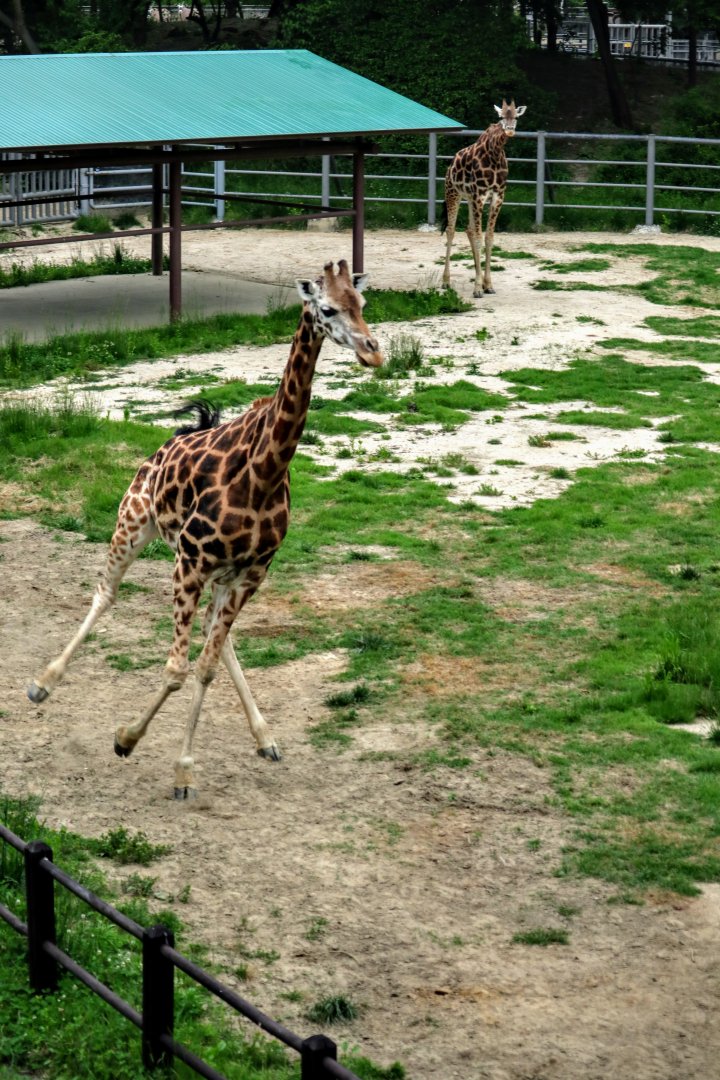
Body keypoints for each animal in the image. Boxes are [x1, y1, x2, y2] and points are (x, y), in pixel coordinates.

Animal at [28, 260, 383, 799]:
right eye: (326, 309)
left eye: (362, 304)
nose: (373, 351)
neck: (265, 472)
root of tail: (172, 439)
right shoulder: (189, 563)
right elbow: (176, 668)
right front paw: (130, 741)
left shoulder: (250, 573)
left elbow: (206, 666)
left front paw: (182, 766)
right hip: (133, 523)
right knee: (105, 594)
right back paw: (42, 684)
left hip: (220, 575)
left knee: (219, 642)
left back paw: (265, 738)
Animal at [441, 99, 527, 298]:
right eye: (501, 117)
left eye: (516, 117)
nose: (510, 130)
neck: (494, 153)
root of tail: (450, 164)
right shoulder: (479, 195)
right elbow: (480, 237)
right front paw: (478, 289)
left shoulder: (497, 196)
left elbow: (489, 238)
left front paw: (488, 284)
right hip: (453, 193)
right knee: (451, 230)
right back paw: (446, 281)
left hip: (468, 198)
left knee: (469, 230)